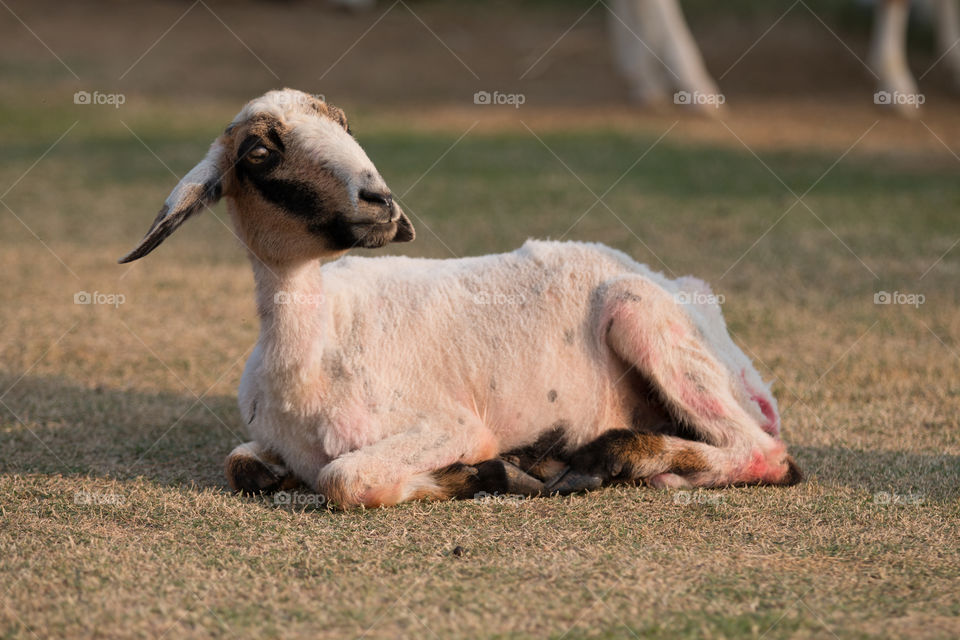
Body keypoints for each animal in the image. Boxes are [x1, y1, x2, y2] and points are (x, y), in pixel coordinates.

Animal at [118, 91, 804, 510]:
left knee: (766, 455)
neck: (315, 350)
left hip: (643, 314)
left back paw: (605, 459)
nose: (381, 202)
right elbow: (242, 464)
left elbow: (346, 477)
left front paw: (480, 474)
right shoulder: (263, 440)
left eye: (346, 126)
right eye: (259, 151)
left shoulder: (450, 423)